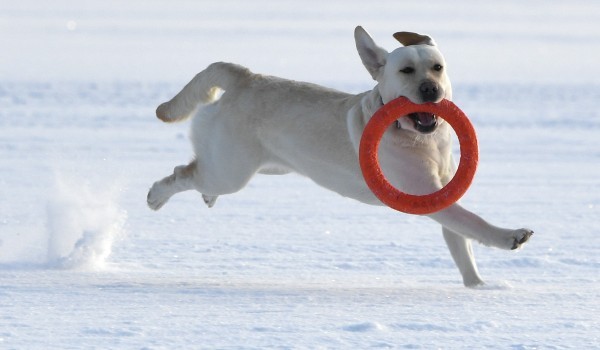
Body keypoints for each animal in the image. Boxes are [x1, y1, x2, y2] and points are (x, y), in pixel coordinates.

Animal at [148, 26, 532, 286]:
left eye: (437, 67)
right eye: (406, 71)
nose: (430, 89)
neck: (421, 141)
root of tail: (245, 76)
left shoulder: (445, 191)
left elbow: (461, 246)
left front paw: (479, 287)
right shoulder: (427, 196)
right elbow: (474, 223)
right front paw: (511, 236)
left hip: (265, 165)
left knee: (197, 168)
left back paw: (205, 197)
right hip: (231, 171)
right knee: (182, 172)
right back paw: (156, 195)